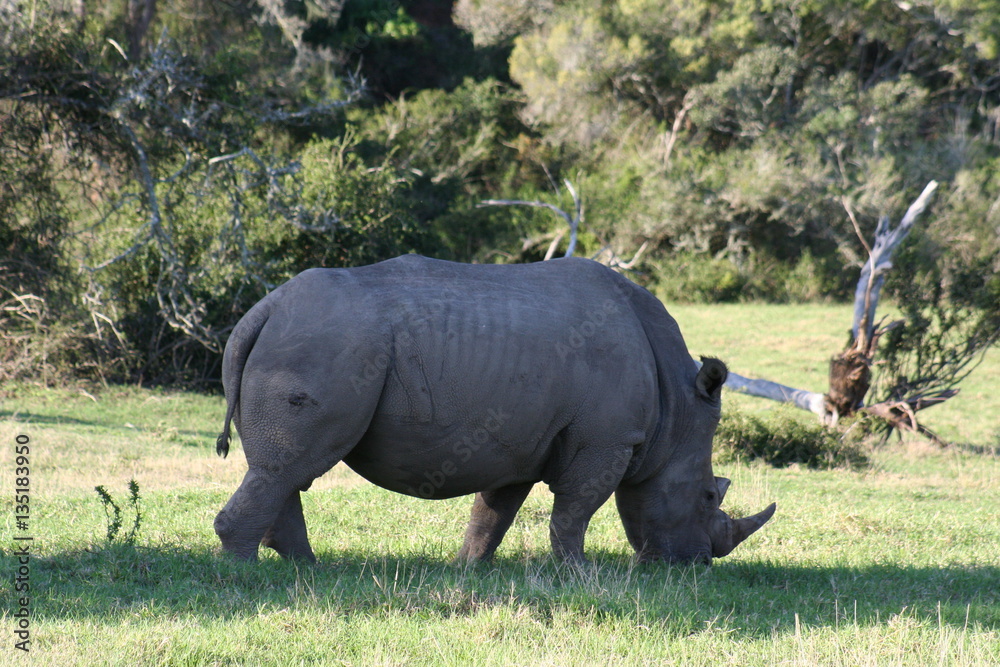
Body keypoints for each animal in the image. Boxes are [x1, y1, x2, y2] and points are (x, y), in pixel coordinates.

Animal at [214, 255, 775, 564]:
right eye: (708, 496)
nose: (696, 566)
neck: (675, 411)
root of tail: (265, 308)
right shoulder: (606, 438)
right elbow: (575, 511)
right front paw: (580, 576)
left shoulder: (522, 440)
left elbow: (494, 513)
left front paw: (467, 568)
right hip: (327, 344)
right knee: (291, 466)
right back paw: (249, 575)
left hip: (312, 340)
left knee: (285, 472)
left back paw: (306, 570)